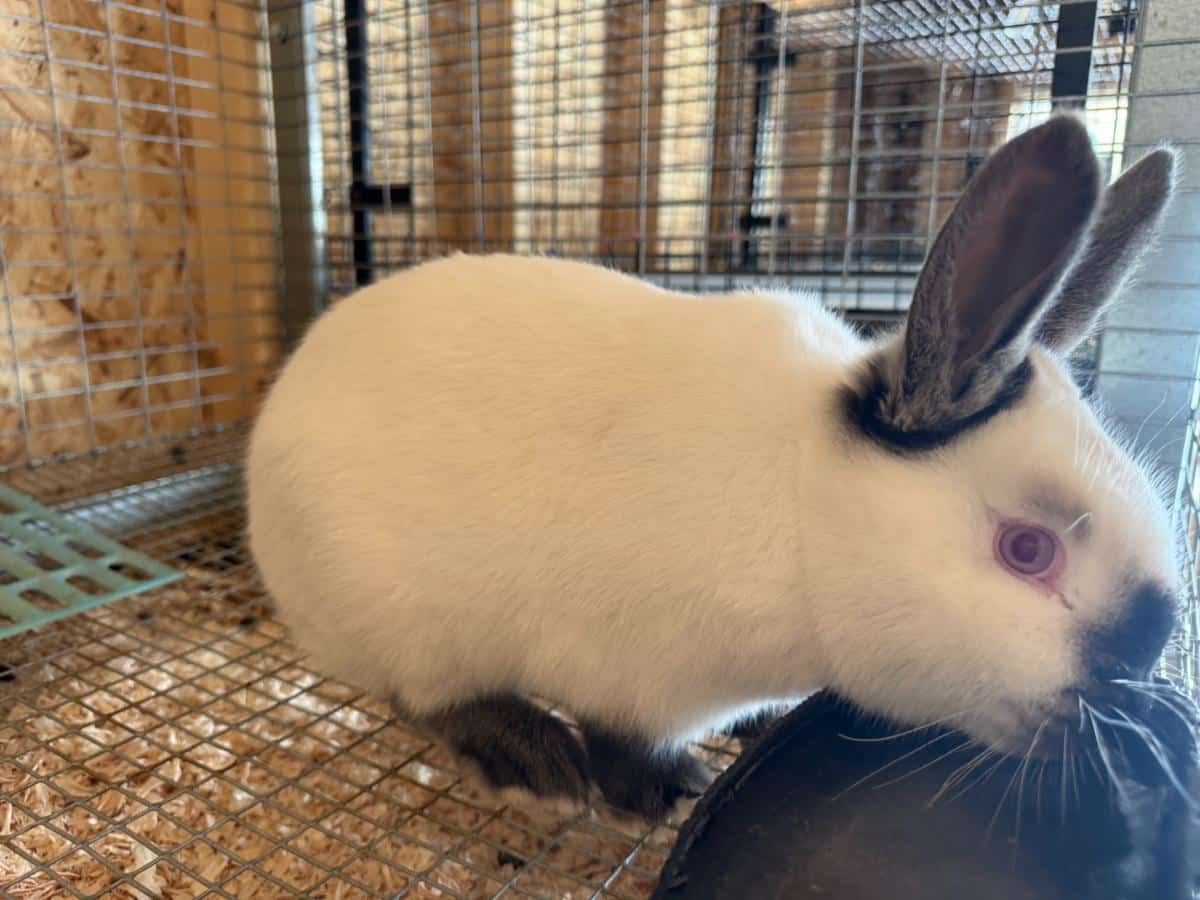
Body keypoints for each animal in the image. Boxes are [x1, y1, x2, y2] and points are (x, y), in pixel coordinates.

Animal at [247, 114, 1182, 820]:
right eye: (1028, 551)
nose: (1132, 686)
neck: (803, 514)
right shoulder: (631, 673)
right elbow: (625, 741)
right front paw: (666, 794)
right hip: (405, 619)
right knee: (422, 696)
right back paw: (533, 763)